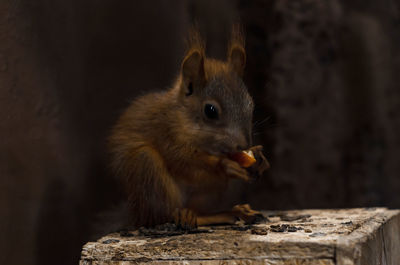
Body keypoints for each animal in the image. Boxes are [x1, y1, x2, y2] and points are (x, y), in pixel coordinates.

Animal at [108, 27, 268, 229]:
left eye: (251, 105)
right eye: (210, 110)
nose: (244, 145)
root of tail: (134, 214)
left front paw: (259, 156)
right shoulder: (164, 133)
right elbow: (184, 160)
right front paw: (224, 164)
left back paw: (234, 211)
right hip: (146, 169)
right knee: (164, 215)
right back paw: (196, 216)